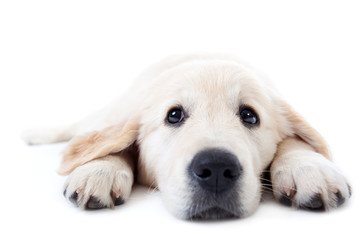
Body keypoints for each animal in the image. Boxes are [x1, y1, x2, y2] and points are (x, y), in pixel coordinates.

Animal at [23, 54, 352, 219]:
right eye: (174, 115)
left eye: (249, 116)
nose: (216, 168)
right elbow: (114, 143)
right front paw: (100, 170)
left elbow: (295, 141)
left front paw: (310, 168)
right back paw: (34, 134)